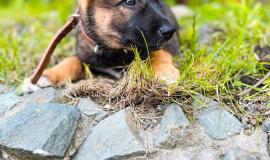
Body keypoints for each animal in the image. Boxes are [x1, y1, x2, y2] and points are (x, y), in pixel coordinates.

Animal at [24, 0, 180, 91]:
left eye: (158, 1)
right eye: (130, 1)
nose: (170, 31)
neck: (115, 49)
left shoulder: (169, 43)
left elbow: (158, 52)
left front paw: (164, 71)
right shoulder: (87, 56)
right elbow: (72, 60)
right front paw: (48, 74)